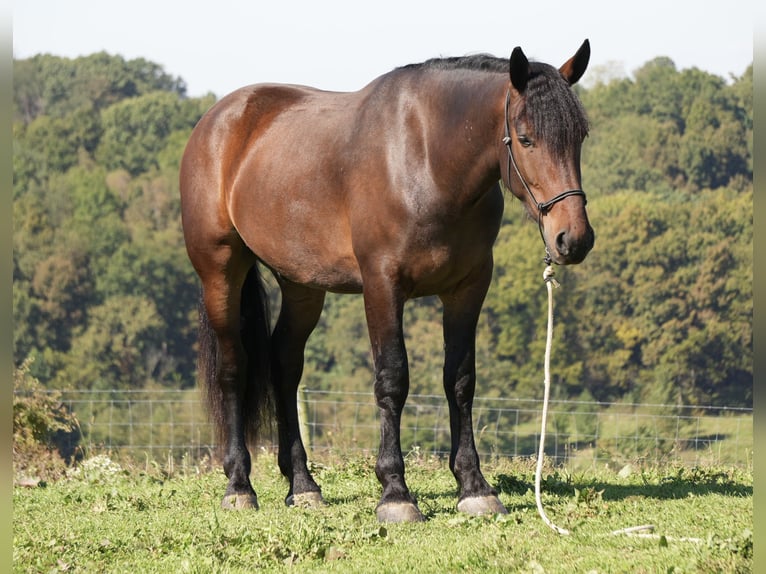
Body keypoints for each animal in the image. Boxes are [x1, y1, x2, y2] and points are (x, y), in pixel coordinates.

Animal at [179, 40, 594, 523]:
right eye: (526, 138)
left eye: (580, 136)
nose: (574, 239)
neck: (426, 159)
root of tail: (219, 119)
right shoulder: (382, 286)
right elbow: (393, 379)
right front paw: (395, 492)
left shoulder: (468, 288)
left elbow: (460, 381)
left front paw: (474, 487)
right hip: (221, 272)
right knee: (234, 369)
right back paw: (239, 486)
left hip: (302, 285)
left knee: (284, 365)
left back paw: (303, 485)